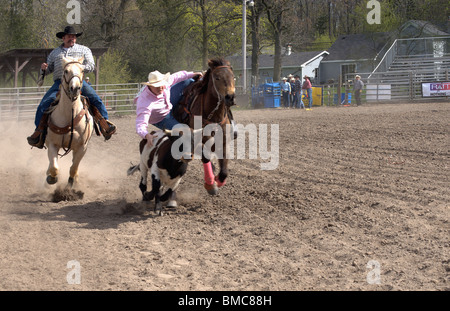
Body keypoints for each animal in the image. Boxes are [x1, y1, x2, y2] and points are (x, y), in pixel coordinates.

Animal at [45, 56, 93, 188]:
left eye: (82, 70)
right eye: (66, 71)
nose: (75, 88)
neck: (69, 115)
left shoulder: (82, 147)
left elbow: (73, 168)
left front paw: (71, 184)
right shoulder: (52, 144)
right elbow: (54, 168)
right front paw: (51, 178)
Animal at [174, 57, 236, 196]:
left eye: (232, 76)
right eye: (217, 77)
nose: (230, 97)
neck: (214, 117)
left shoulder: (224, 141)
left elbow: (224, 170)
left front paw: (218, 179)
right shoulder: (199, 139)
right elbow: (205, 156)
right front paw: (211, 184)